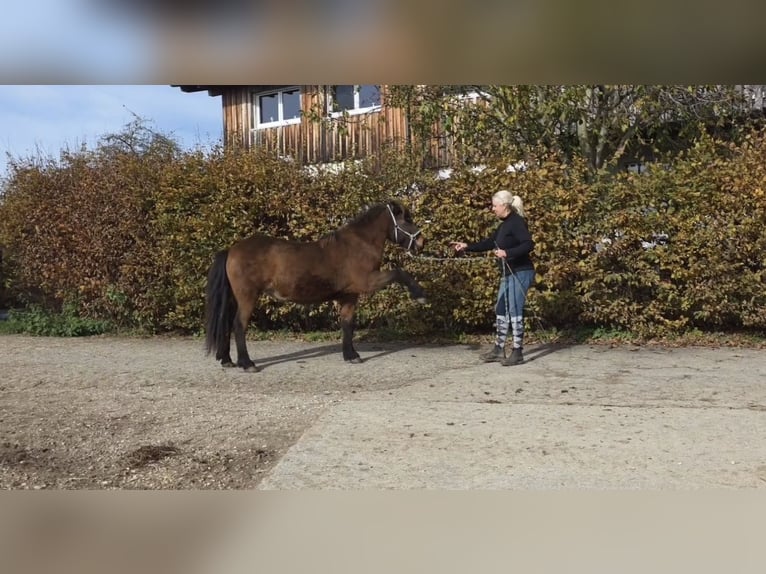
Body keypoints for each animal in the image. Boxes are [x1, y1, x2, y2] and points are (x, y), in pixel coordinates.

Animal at [204, 200, 426, 371]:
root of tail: (231, 249)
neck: (358, 245)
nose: (421, 242)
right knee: (238, 324)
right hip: (248, 296)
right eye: (406, 219)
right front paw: (420, 294)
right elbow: (399, 272)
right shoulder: (368, 281)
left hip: (235, 298)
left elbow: (347, 324)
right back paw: (246, 363)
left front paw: (351, 355)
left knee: (226, 323)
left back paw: (227, 360)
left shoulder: (350, 296)